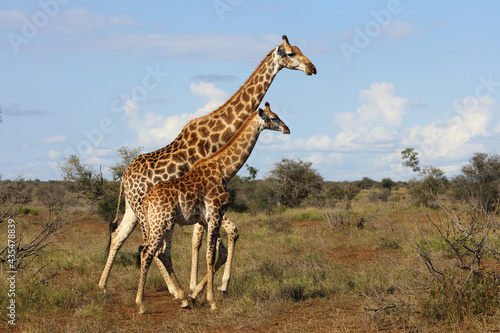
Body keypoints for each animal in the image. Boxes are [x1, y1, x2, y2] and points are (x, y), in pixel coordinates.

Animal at [137, 102, 292, 312]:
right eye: (274, 118)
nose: (287, 129)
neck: (224, 170)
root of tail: (146, 201)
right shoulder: (216, 213)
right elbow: (210, 255)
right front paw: (211, 301)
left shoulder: (207, 218)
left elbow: (217, 253)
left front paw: (196, 295)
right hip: (160, 222)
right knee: (147, 252)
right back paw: (141, 304)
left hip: (167, 224)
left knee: (163, 253)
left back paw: (183, 299)